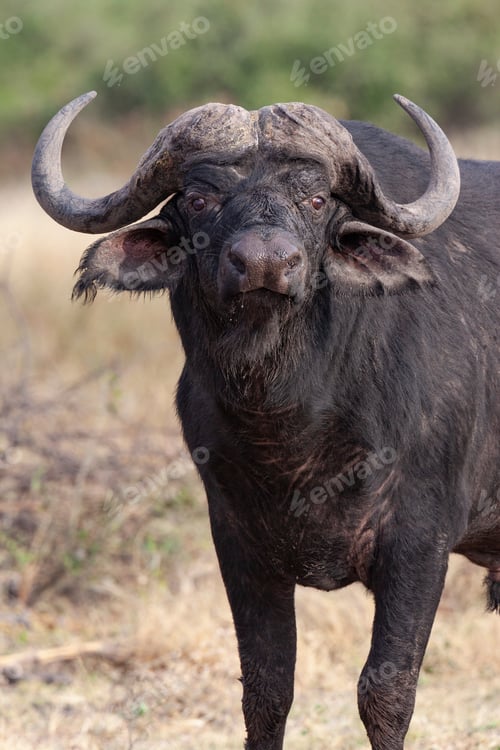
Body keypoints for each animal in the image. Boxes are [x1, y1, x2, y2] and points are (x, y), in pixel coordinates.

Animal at [32, 92, 499, 750]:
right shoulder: (239, 544)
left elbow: (385, 694)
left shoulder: (420, 544)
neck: (292, 427)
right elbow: (267, 690)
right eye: (198, 198)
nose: (265, 264)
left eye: (316, 200)